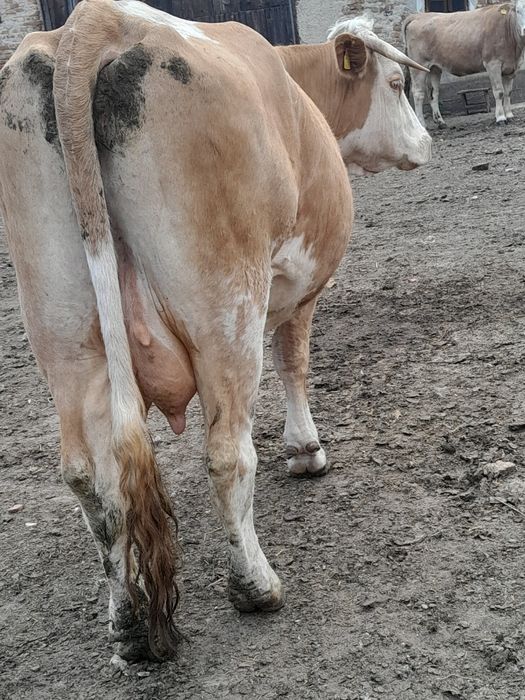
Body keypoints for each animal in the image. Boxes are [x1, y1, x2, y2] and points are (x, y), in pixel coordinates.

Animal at [0, 0, 431, 664]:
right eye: (394, 84)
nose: (426, 143)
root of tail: (94, 21)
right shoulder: (298, 288)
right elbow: (294, 362)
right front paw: (306, 452)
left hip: (62, 331)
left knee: (87, 474)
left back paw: (126, 621)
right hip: (226, 309)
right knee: (227, 452)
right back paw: (255, 586)